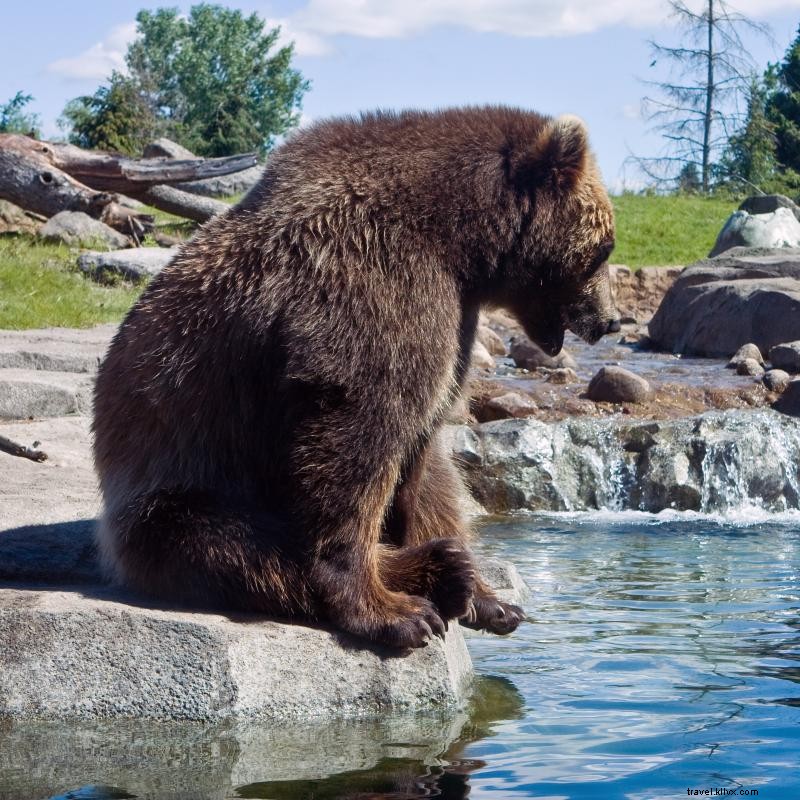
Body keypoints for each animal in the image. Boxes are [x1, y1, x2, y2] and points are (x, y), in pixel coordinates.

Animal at [94, 106, 620, 648]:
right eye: (605, 248)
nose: (610, 321)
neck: (459, 245)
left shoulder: (455, 324)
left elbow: (424, 451)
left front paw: (476, 593)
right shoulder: (373, 287)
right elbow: (357, 436)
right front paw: (392, 613)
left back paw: (468, 586)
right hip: (179, 492)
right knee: (239, 545)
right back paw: (432, 580)